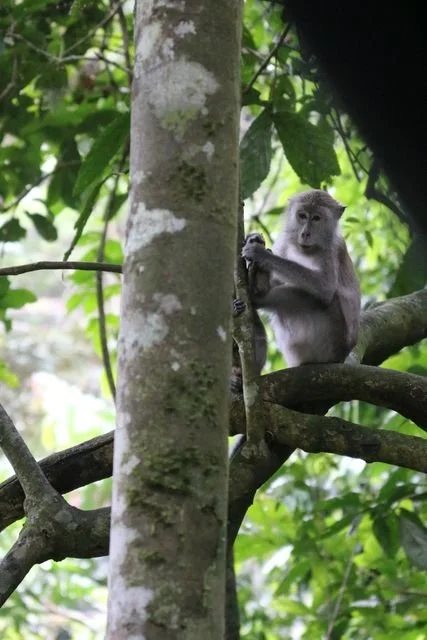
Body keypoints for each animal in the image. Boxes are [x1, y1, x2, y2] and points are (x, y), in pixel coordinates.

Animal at [242, 190, 360, 367]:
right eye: (302, 216)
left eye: (317, 218)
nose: (305, 233)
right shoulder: (284, 242)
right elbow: (274, 282)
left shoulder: (332, 249)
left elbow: (325, 287)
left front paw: (261, 255)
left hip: (327, 343)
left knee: (315, 297)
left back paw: (255, 298)